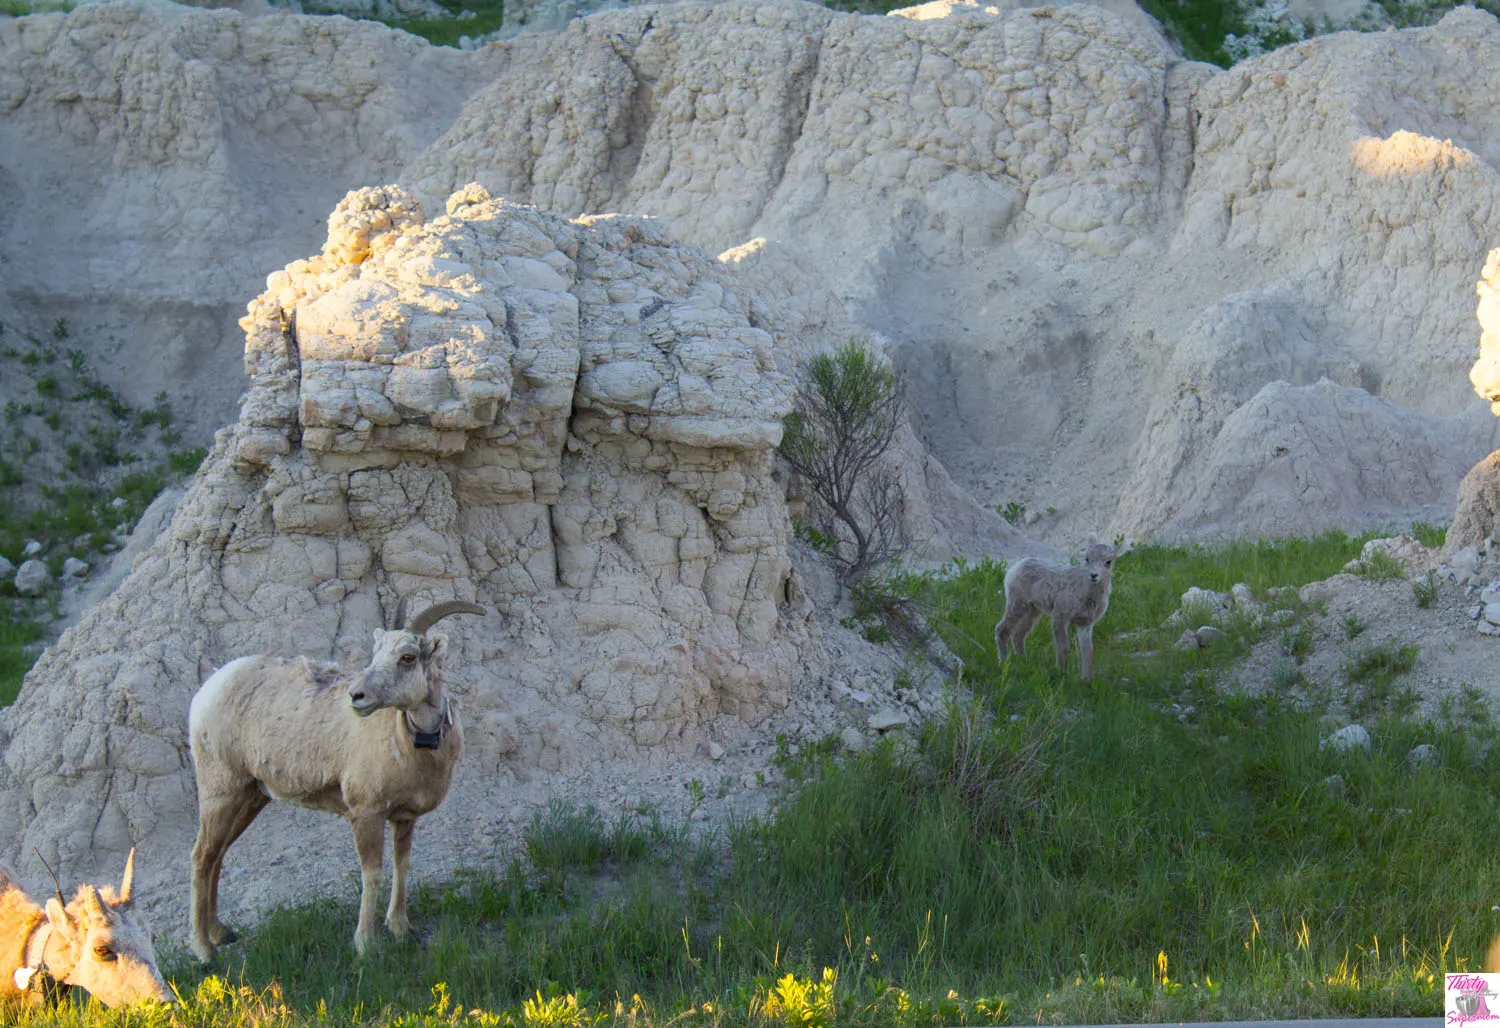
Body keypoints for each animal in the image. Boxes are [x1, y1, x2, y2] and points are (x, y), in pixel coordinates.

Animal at [184, 597, 483, 960]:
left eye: (408, 657)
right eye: (376, 653)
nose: (357, 697)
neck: (412, 743)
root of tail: (209, 688)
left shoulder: (403, 816)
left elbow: (403, 866)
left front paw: (400, 929)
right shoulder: (366, 813)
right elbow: (373, 874)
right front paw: (366, 944)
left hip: (249, 796)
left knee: (218, 854)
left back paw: (220, 933)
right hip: (220, 792)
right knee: (201, 857)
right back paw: (202, 951)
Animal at [990, 537, 1128, 681]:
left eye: (1108, 561)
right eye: (1087, 558)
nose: (1094, 575)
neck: (1088, 595)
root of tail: (1014, 568)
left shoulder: (1086, 624)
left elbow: (1087, 651)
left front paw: (1086, 680)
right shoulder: (1060, 616)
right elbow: (1063, 647)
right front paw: (1060, 672)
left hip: (1033, 611)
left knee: (1018, 634)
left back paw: (1023, 662)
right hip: (1017, 603)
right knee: (1002, 629)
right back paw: (1003, 663)